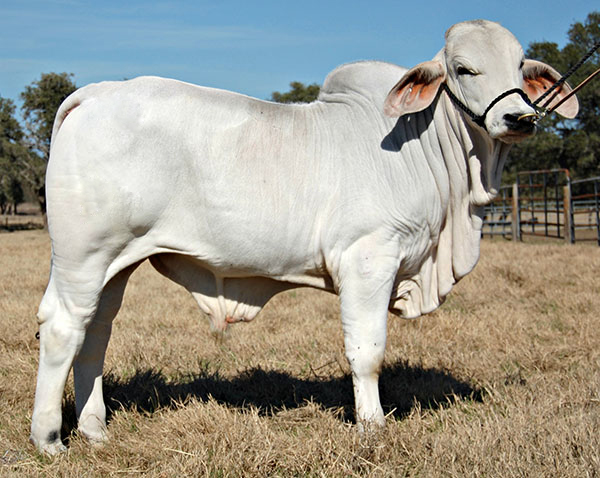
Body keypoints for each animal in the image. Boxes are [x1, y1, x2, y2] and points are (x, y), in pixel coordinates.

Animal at [30, 20, 578, 454]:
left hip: (116, 264)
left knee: (95, 333)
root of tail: (92, 94)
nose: (520, 117)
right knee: (62, 328)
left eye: (519, 65)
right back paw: (50, 440)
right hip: (85, 255)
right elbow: (367, 352)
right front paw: (373, 428)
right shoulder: (368, 259)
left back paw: (96, 431)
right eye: (463, 69)